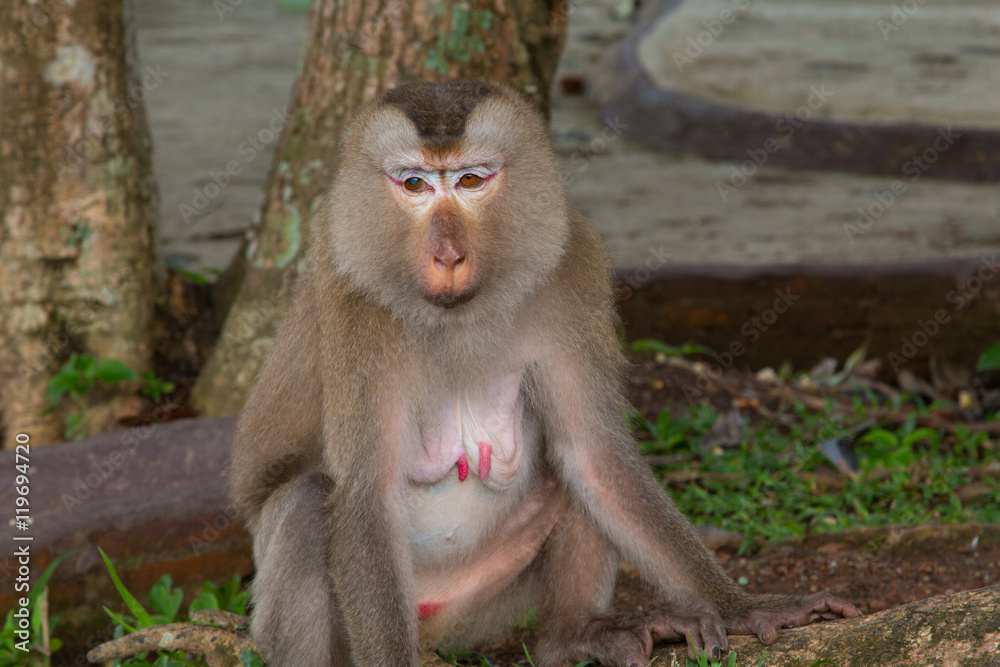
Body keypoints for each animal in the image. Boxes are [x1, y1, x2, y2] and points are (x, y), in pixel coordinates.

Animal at [229, 80, 860, 667]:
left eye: (471, 181)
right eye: (414, 185)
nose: (448, 256)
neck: (458, 314)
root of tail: (433, 629)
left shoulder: (571, 268)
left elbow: (595, 455)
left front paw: (744, 608)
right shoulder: (349, 304)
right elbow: (364, 499)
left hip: (479, 605)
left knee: (570, 471)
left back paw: (572, 634)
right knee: (305, 506)